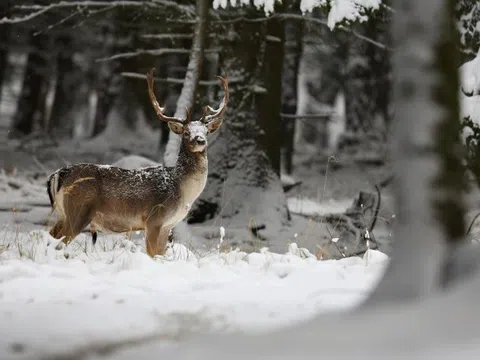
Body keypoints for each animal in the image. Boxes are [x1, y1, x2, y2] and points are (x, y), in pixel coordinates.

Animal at [47, 69, 229, 256]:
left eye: (206, 131)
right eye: (186, 132)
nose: (200, 140)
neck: (182, 190)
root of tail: (59, 174)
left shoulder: (167, 226)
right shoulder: (153, 219)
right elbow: (152, 254)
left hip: (64, 214)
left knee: (51, 235)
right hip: (78, 210)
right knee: (59, 242)